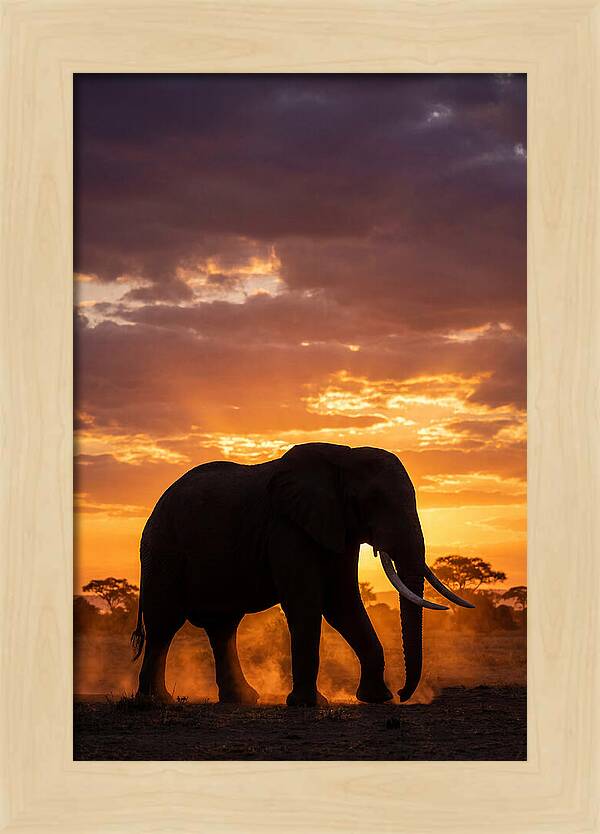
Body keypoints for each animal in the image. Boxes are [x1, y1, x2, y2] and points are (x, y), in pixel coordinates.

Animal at [131, 442, 473, 706]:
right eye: (374, 501)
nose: (403, 693)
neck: (343, 457)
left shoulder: (337, 527)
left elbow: (342, 603)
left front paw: (377, 699)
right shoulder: (287, 527)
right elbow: (307, 604)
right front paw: (308, 703)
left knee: (222, 627)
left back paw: (242, 699)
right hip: (163, 551)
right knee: (165, 624)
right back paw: (155, 701)